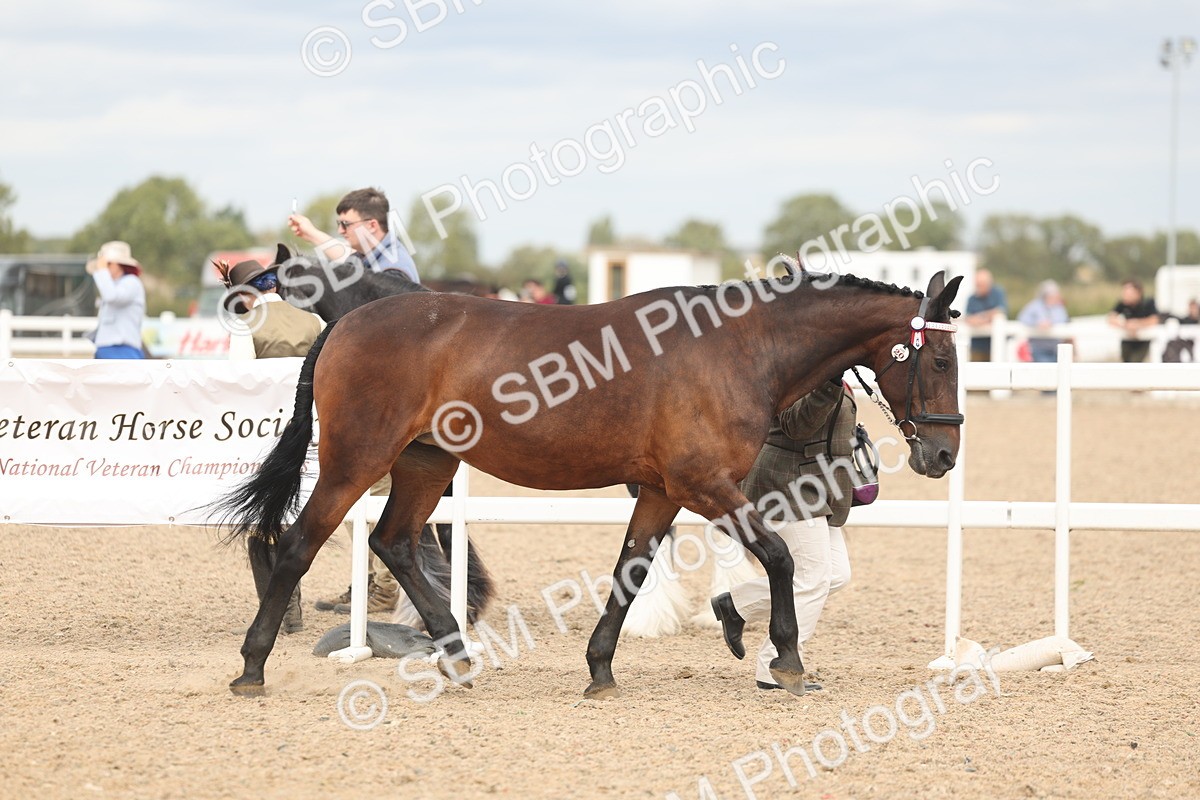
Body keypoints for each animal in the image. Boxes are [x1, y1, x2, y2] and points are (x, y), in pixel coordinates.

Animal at [213, 268, 964, 699]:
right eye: (942, 359)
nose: (943, 453)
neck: (737, 347)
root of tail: (346, 323)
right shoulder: (706, 484)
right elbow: (778, 557)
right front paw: (786, 658)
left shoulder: (662, 491)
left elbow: (631, 572)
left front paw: (601, 668)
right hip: (357, 460)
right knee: (300, 545)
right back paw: (252, 667)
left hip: (427, 462)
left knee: (394, 542)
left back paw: (457, 657)